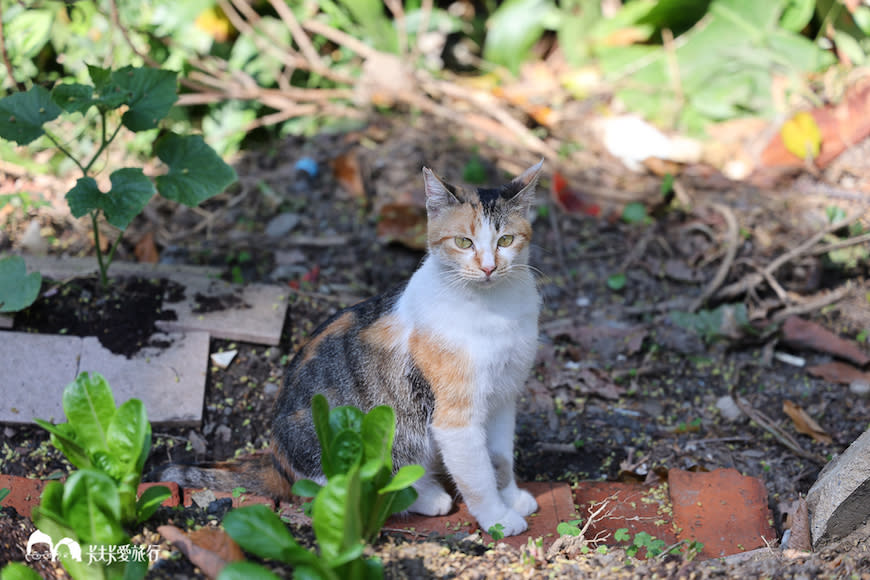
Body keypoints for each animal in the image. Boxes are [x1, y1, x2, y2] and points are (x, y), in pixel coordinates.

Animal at [155, 160, 544, 540]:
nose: (489, 267)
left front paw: (511, 497)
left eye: (506, 240)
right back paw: (427, 496)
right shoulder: (456, 418)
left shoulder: (504, 396)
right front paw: (498, 518)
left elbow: (500, 457)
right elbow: (477, 476)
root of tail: (277, 464)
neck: (493, 308)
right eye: (463, 242)